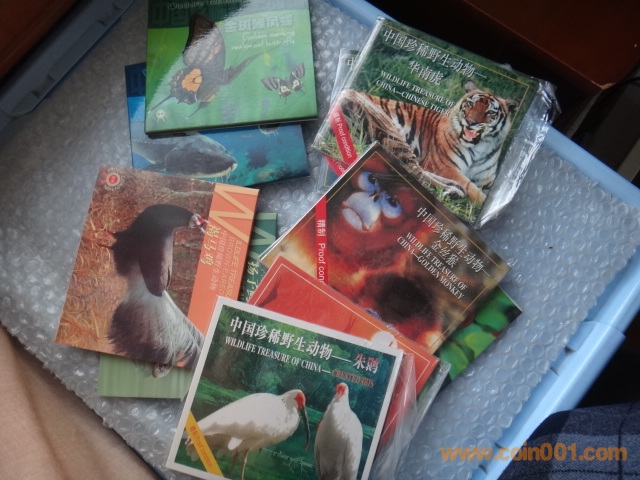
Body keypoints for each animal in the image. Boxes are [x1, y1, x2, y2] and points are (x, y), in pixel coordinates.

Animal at [335, 81, 519, 206]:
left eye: (490, 112)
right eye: (470, 104)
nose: (470, 122)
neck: (481, 147)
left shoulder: (487, 183)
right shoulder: (445, 166)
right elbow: (474, 190)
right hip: (388, 129)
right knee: (414, 172)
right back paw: (453, 190)